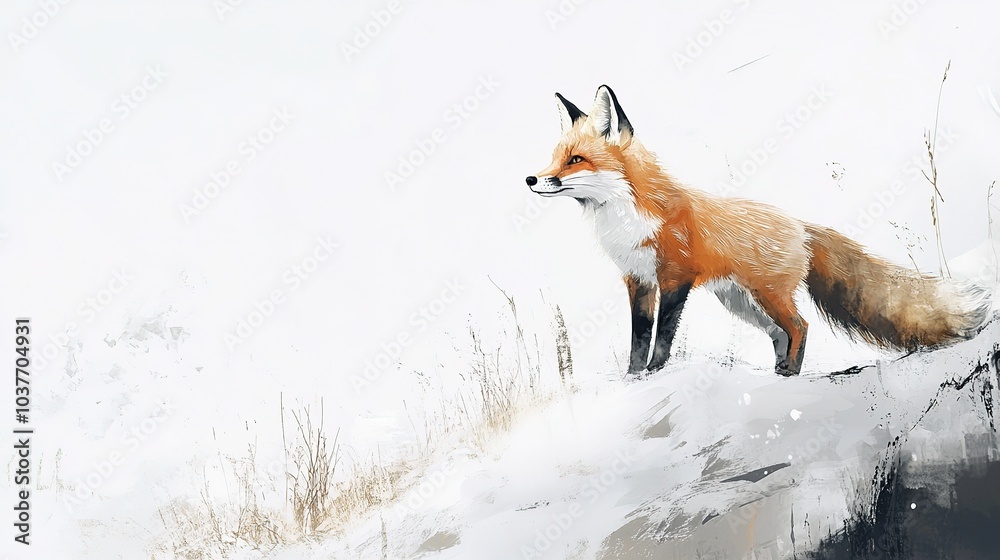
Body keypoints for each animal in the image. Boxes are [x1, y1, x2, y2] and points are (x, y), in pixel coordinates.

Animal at [527, 85, 992, 376]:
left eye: (576, 160)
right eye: (554, 158)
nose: (532, 179)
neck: (627, 219)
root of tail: (801, 224)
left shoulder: (675, 278)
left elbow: (661, 338)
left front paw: (656, 373)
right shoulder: (637, 280)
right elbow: (638, 339)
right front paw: (633, 377)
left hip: (766, 296)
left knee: (800, 327)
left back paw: (790, 375)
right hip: (742, 302)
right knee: (780, 334)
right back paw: (778, 372)